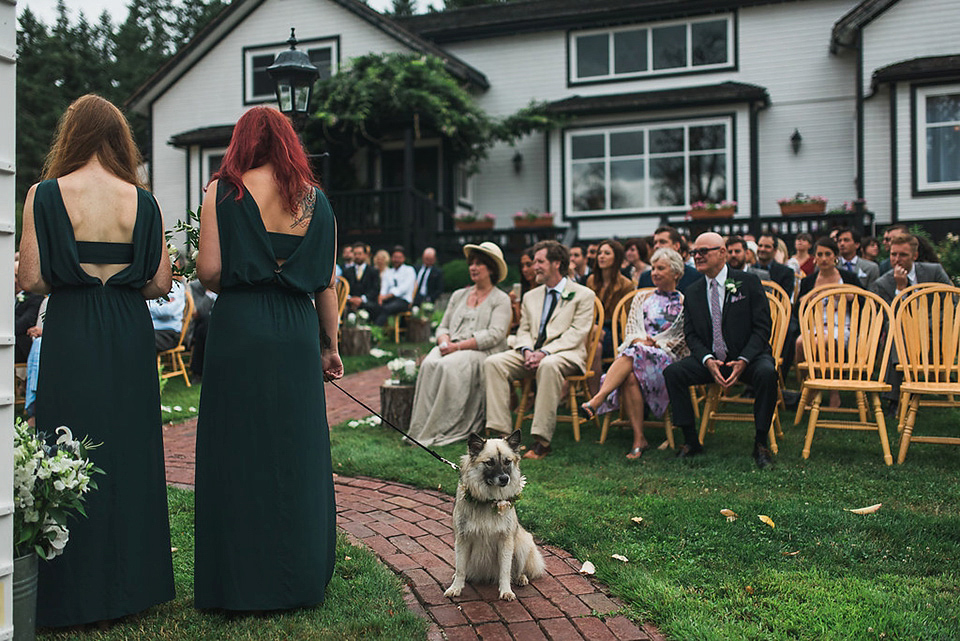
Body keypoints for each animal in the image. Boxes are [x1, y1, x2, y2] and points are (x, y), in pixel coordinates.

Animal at [444, 430, 544, 600]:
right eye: (489, 462)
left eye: (507, 462)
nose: (504, 478)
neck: (489, 502)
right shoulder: (463, 540)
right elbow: (460, 569)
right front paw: (455, 588)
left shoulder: (505, 541)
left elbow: (505, 570)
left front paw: (506, 591)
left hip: (523, 544)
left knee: (518, 570)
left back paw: (521, 578)